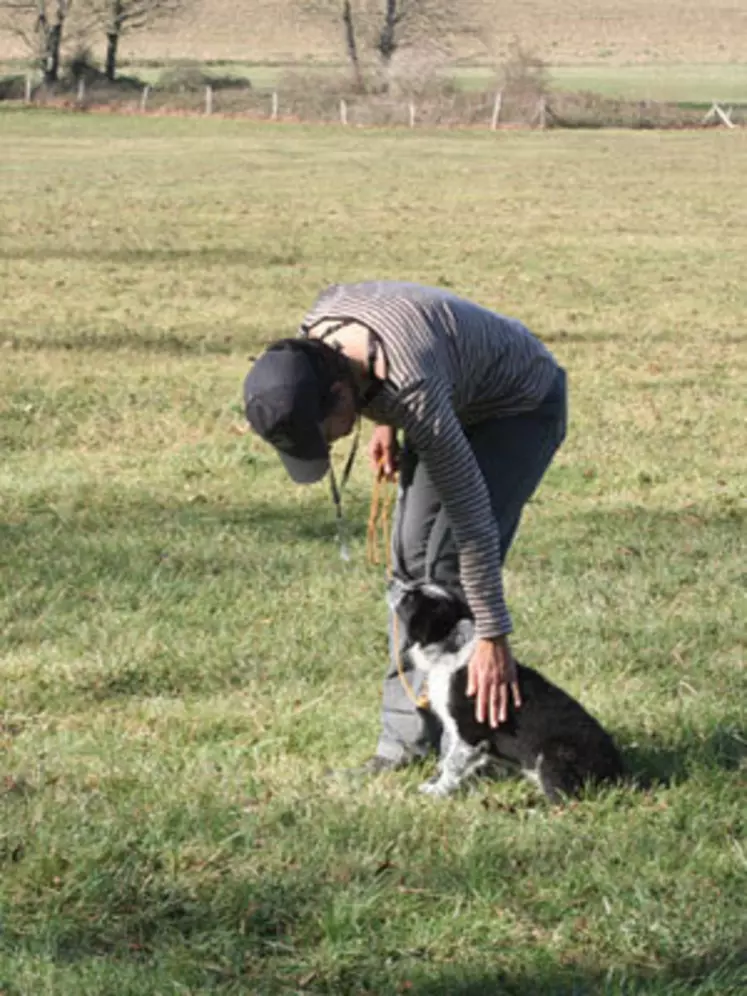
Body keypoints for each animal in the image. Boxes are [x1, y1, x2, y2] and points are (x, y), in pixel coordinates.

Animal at [398, 584, 624, 800]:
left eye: (410, 599)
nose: (401, 590)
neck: (451, 650)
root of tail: (618, 774)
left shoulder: (471, 733)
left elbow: (453, 764)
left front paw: (437, 792)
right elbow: (451, 760)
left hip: (554, 756)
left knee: (565, 798)